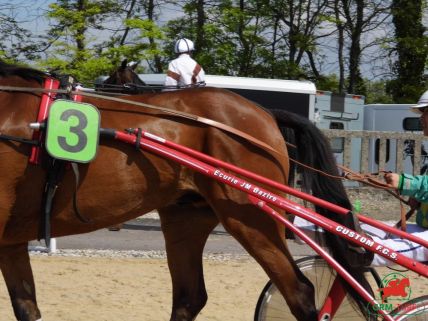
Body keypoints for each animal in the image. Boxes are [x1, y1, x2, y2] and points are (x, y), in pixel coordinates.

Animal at [0, 60, 372, 320]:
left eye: (112, 80)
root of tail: (264, 113)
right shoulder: (11, 241)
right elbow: (26, 306)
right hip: (186, 218)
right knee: (189, 298)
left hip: (252, 219)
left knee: (300, 292)